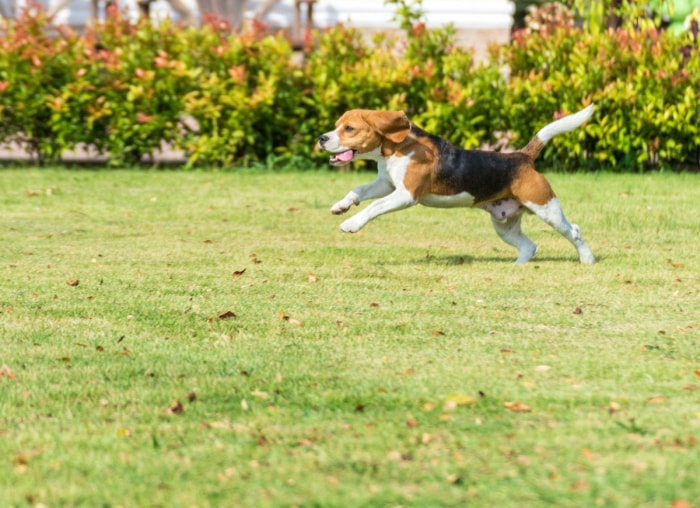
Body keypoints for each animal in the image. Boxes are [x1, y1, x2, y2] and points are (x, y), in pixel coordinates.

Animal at [318, 107, 596, 266]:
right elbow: (359, 190)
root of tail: (522, 156)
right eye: (336, 126)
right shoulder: (386, 183)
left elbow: (373, 206)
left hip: (546, 208)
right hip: (505, 224)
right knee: (530, 246)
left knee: (574, 231)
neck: (397, 147)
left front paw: (351, 223)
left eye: (349, 129)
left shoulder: (406, 194)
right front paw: (341, 206)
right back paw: (517, 266)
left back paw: (587, 260)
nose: (322, 138)